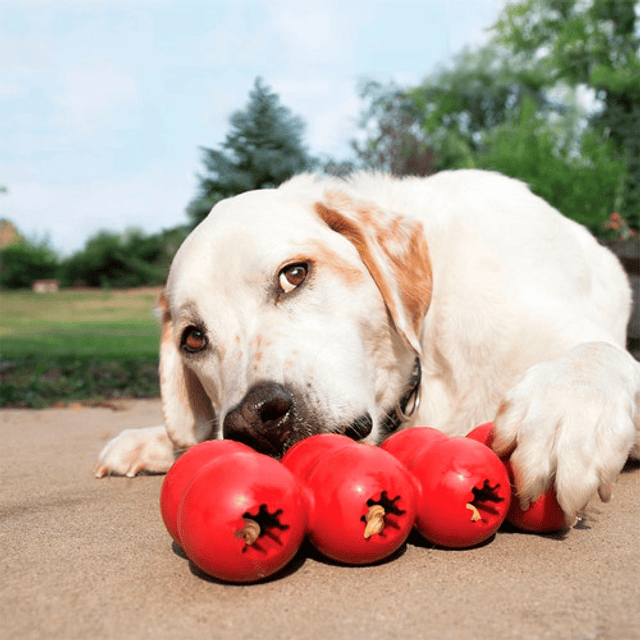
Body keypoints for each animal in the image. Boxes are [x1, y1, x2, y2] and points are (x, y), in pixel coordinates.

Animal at [95, 170, 640, 524]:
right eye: (194, 338)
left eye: (294, 274)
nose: (251, 420)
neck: (426, 360)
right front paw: (158, 440)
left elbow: (597, 356)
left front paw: (565, 415)